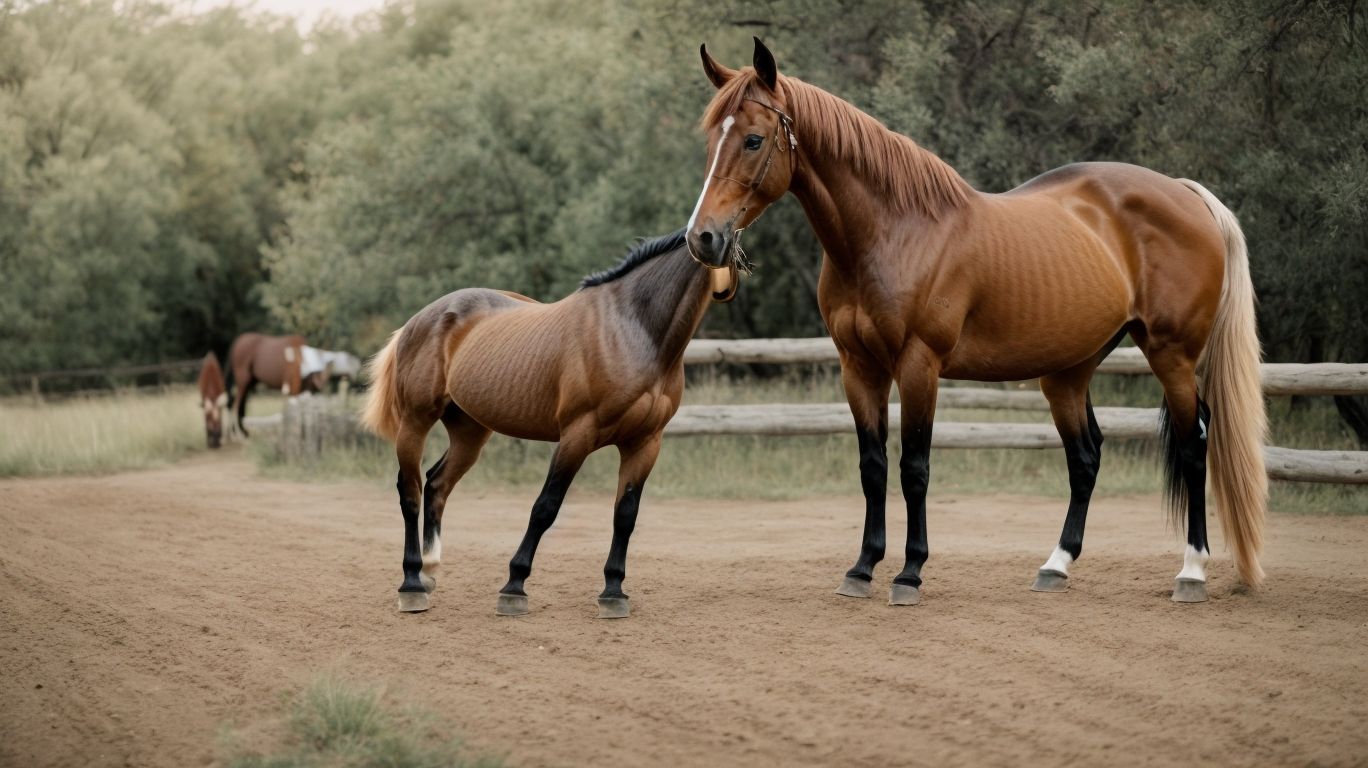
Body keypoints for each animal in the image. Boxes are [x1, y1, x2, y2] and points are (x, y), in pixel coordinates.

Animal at [361, 230, 741, 618]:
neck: (634, 329)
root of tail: (419, 319)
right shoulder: (576, 435)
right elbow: (546, 507)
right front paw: (514, 586)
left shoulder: (645, 443)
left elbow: (625, 514)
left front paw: (614, 591)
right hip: (415, 422)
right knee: (411, 491)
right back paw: (412, 583)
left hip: (470, 432)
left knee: (437, 484)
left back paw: (429, 570)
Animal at [686, 38, 1267, 606]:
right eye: (711, 140)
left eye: (754, 140)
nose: (702, 238)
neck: (893, 232)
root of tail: (1184, 192)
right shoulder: (858, 367)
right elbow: (873, 467)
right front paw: (862, 568)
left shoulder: (919, 365)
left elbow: (914, 468)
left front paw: (909, 574)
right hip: (1069, 370)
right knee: (1086, 456)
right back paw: (1056, 565)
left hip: (1171, 354)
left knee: (1194, 445)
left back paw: (1191, 572)